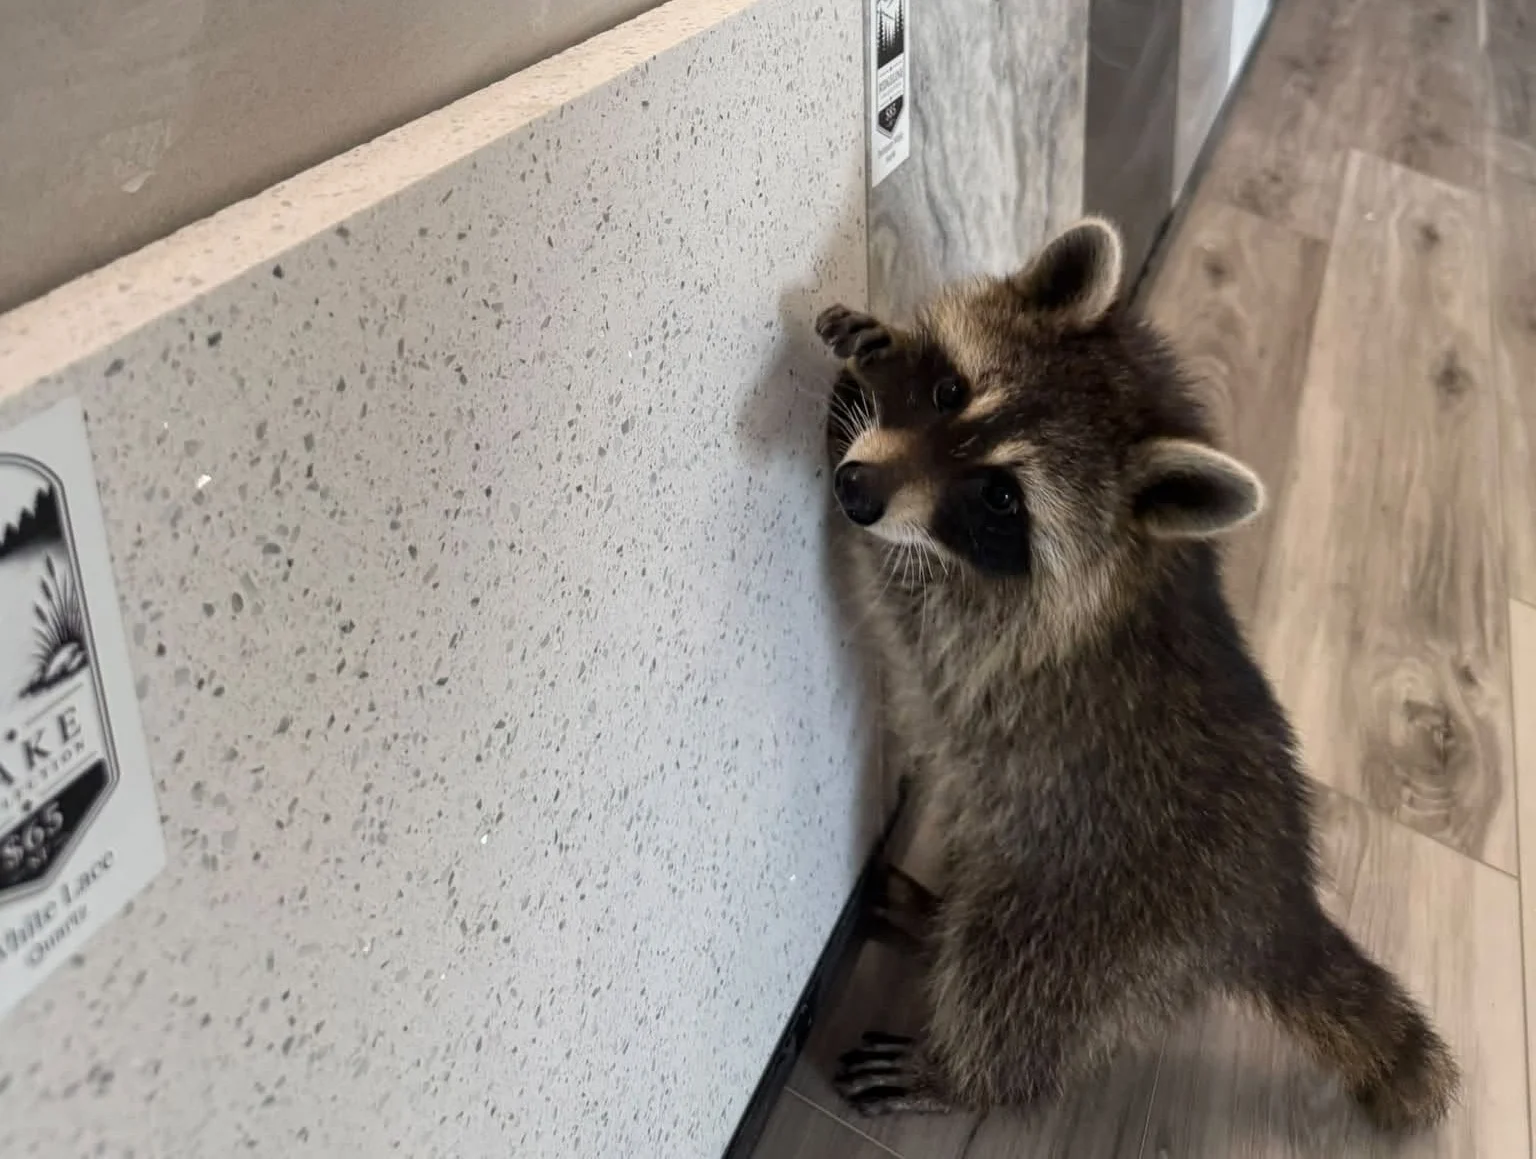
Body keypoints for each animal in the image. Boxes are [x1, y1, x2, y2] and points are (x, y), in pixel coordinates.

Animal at [811, 218, 1459, 1132]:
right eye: (947, 392)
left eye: (1000, 498)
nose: (860, 488)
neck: (1134, 550)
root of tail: (1279, 904)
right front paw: (874, 355)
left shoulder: (1011, 630)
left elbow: (914, 600)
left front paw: (849, 419)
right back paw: (932, 913)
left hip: (1092, 913)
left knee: (1008, 980)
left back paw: (966, 1072)